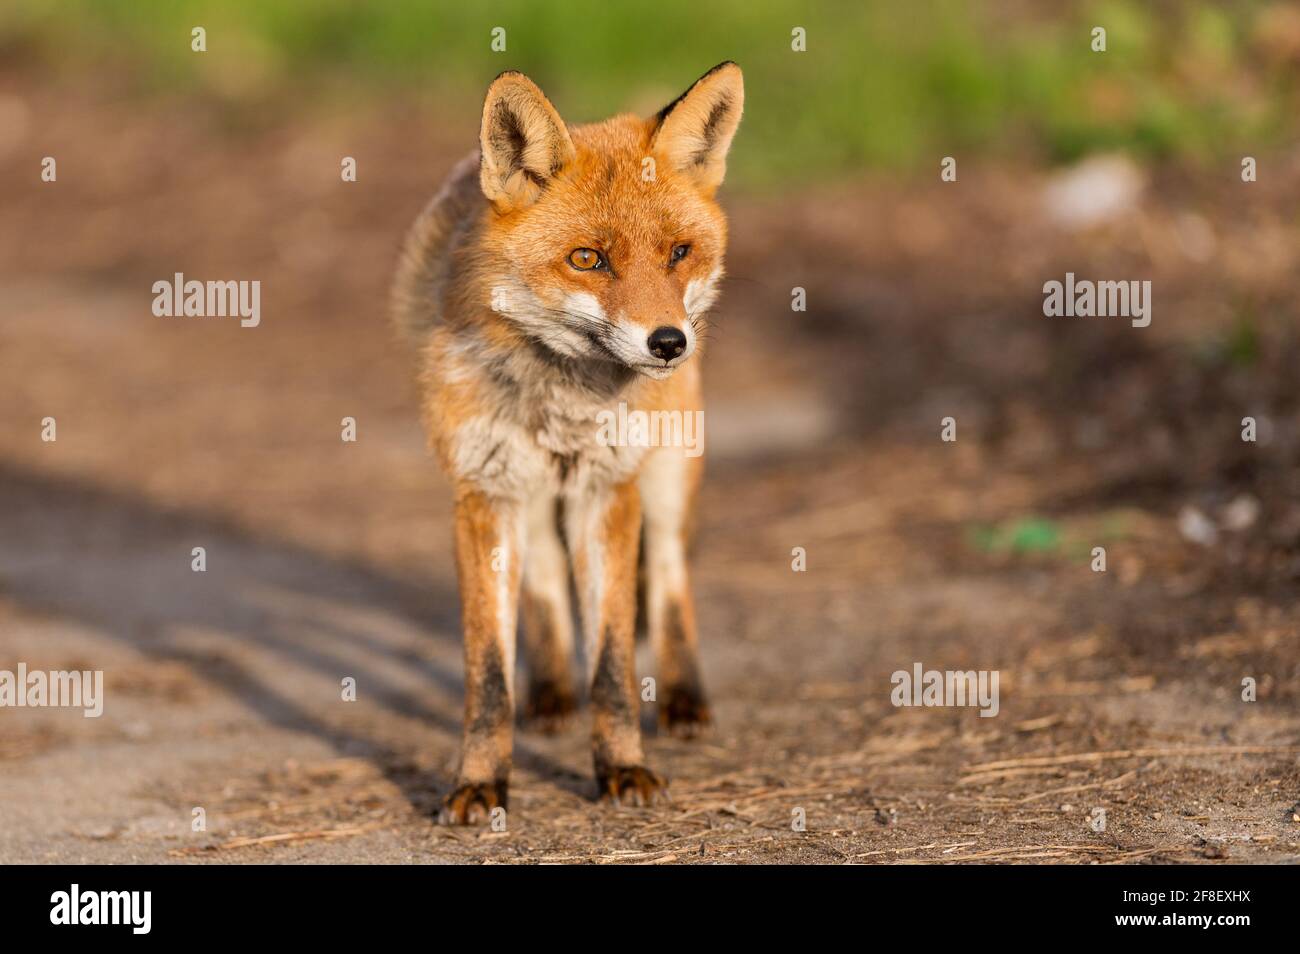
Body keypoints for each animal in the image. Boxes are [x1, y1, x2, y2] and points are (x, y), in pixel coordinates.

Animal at [390, 61, 743, 821]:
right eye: (588, 259)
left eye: (678, 252)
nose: (668, 343)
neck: (559, 395)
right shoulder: (484, 494)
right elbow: (489, 671)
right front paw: (480, 781)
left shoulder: (608, 489)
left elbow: (611, 663)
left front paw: (623, 768)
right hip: (532, 495)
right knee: (547, 577)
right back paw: (551, 694)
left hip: (668, 473)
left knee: (668, 573)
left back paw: (684, 700)